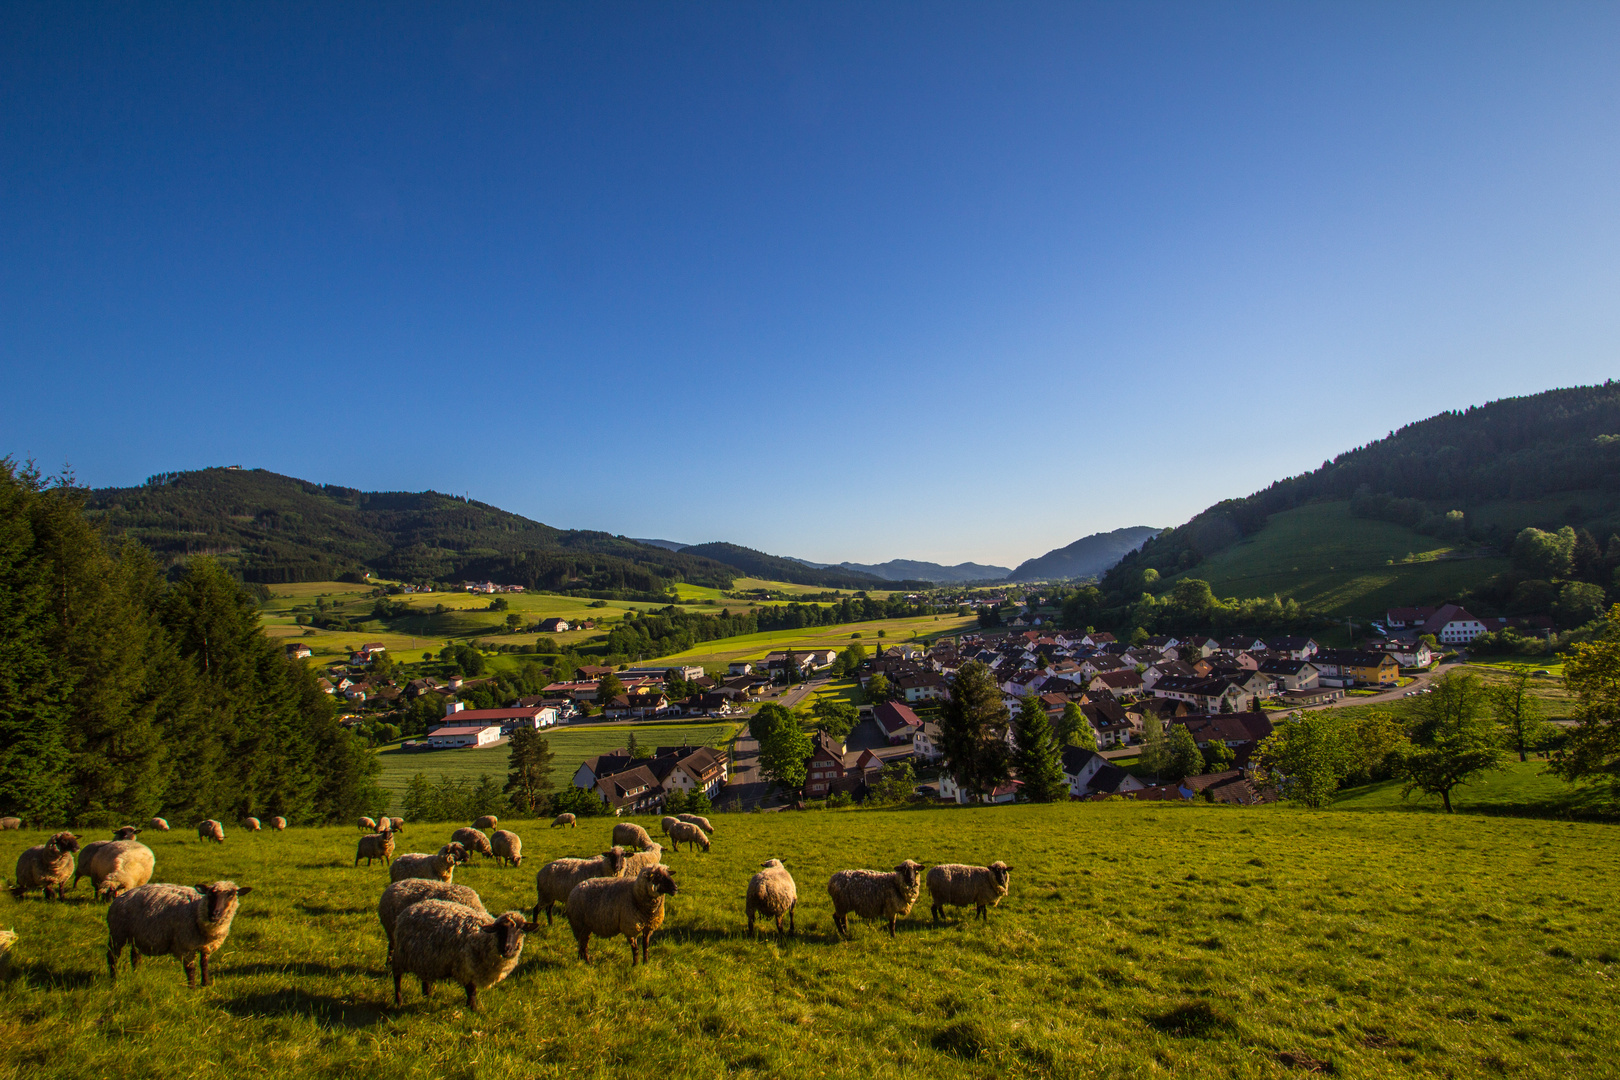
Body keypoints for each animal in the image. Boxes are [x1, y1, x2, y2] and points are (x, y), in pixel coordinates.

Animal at [104, 880, 251, 990]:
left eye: (231, 895)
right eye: (210, 894)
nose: (214, 914)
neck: (197, 910)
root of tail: (120, 897)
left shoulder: (206, 946)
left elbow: (204, 964)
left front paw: (206, 984)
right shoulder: (185, 945)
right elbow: (190, 968)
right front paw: (192, 988)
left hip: (135, 935)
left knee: (135, 956)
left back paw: (136, 974)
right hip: (117, 933)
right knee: (113, 956)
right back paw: (114, 980)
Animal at [388, 893, 534, 1016]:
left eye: (520, 929)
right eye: (500, 930)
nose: (507, 949)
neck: (484, 939)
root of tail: (410, 908)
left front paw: (470, 1007)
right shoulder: (466, 968)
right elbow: (471, 991)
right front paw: (473, 1009)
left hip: (425, 958)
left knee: (425, 977)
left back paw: (427, 995)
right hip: (401, 955)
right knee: (397, 977)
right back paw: (399, 1001)